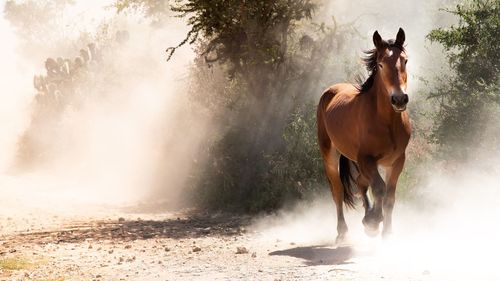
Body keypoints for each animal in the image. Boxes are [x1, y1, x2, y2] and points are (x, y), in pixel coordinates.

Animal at [318, 28, 412, 242]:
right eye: (381, 64)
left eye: (405, 60)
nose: (399, 99)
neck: (386, 122)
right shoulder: (366, 159)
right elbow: (379, 188)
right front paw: (372, 222)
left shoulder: (397, 160)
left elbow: (390, 196)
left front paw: (386, 232)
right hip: (330, 155)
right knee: (338, 192)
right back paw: (342, 233)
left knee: (361, 182)